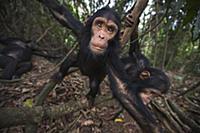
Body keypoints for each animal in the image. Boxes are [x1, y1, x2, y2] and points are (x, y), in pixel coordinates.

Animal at [38, 0, 170, 127]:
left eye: (110, 29)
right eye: (99, 25)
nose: (101, 36)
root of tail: (84, 73)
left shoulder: (111, 54)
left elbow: (123, 90)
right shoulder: (82, 32)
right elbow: (61, 14)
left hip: (93, 77)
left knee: (94, 84)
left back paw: (91, 96)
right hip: (78, 64)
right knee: (69, 61)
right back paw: (60, 74)